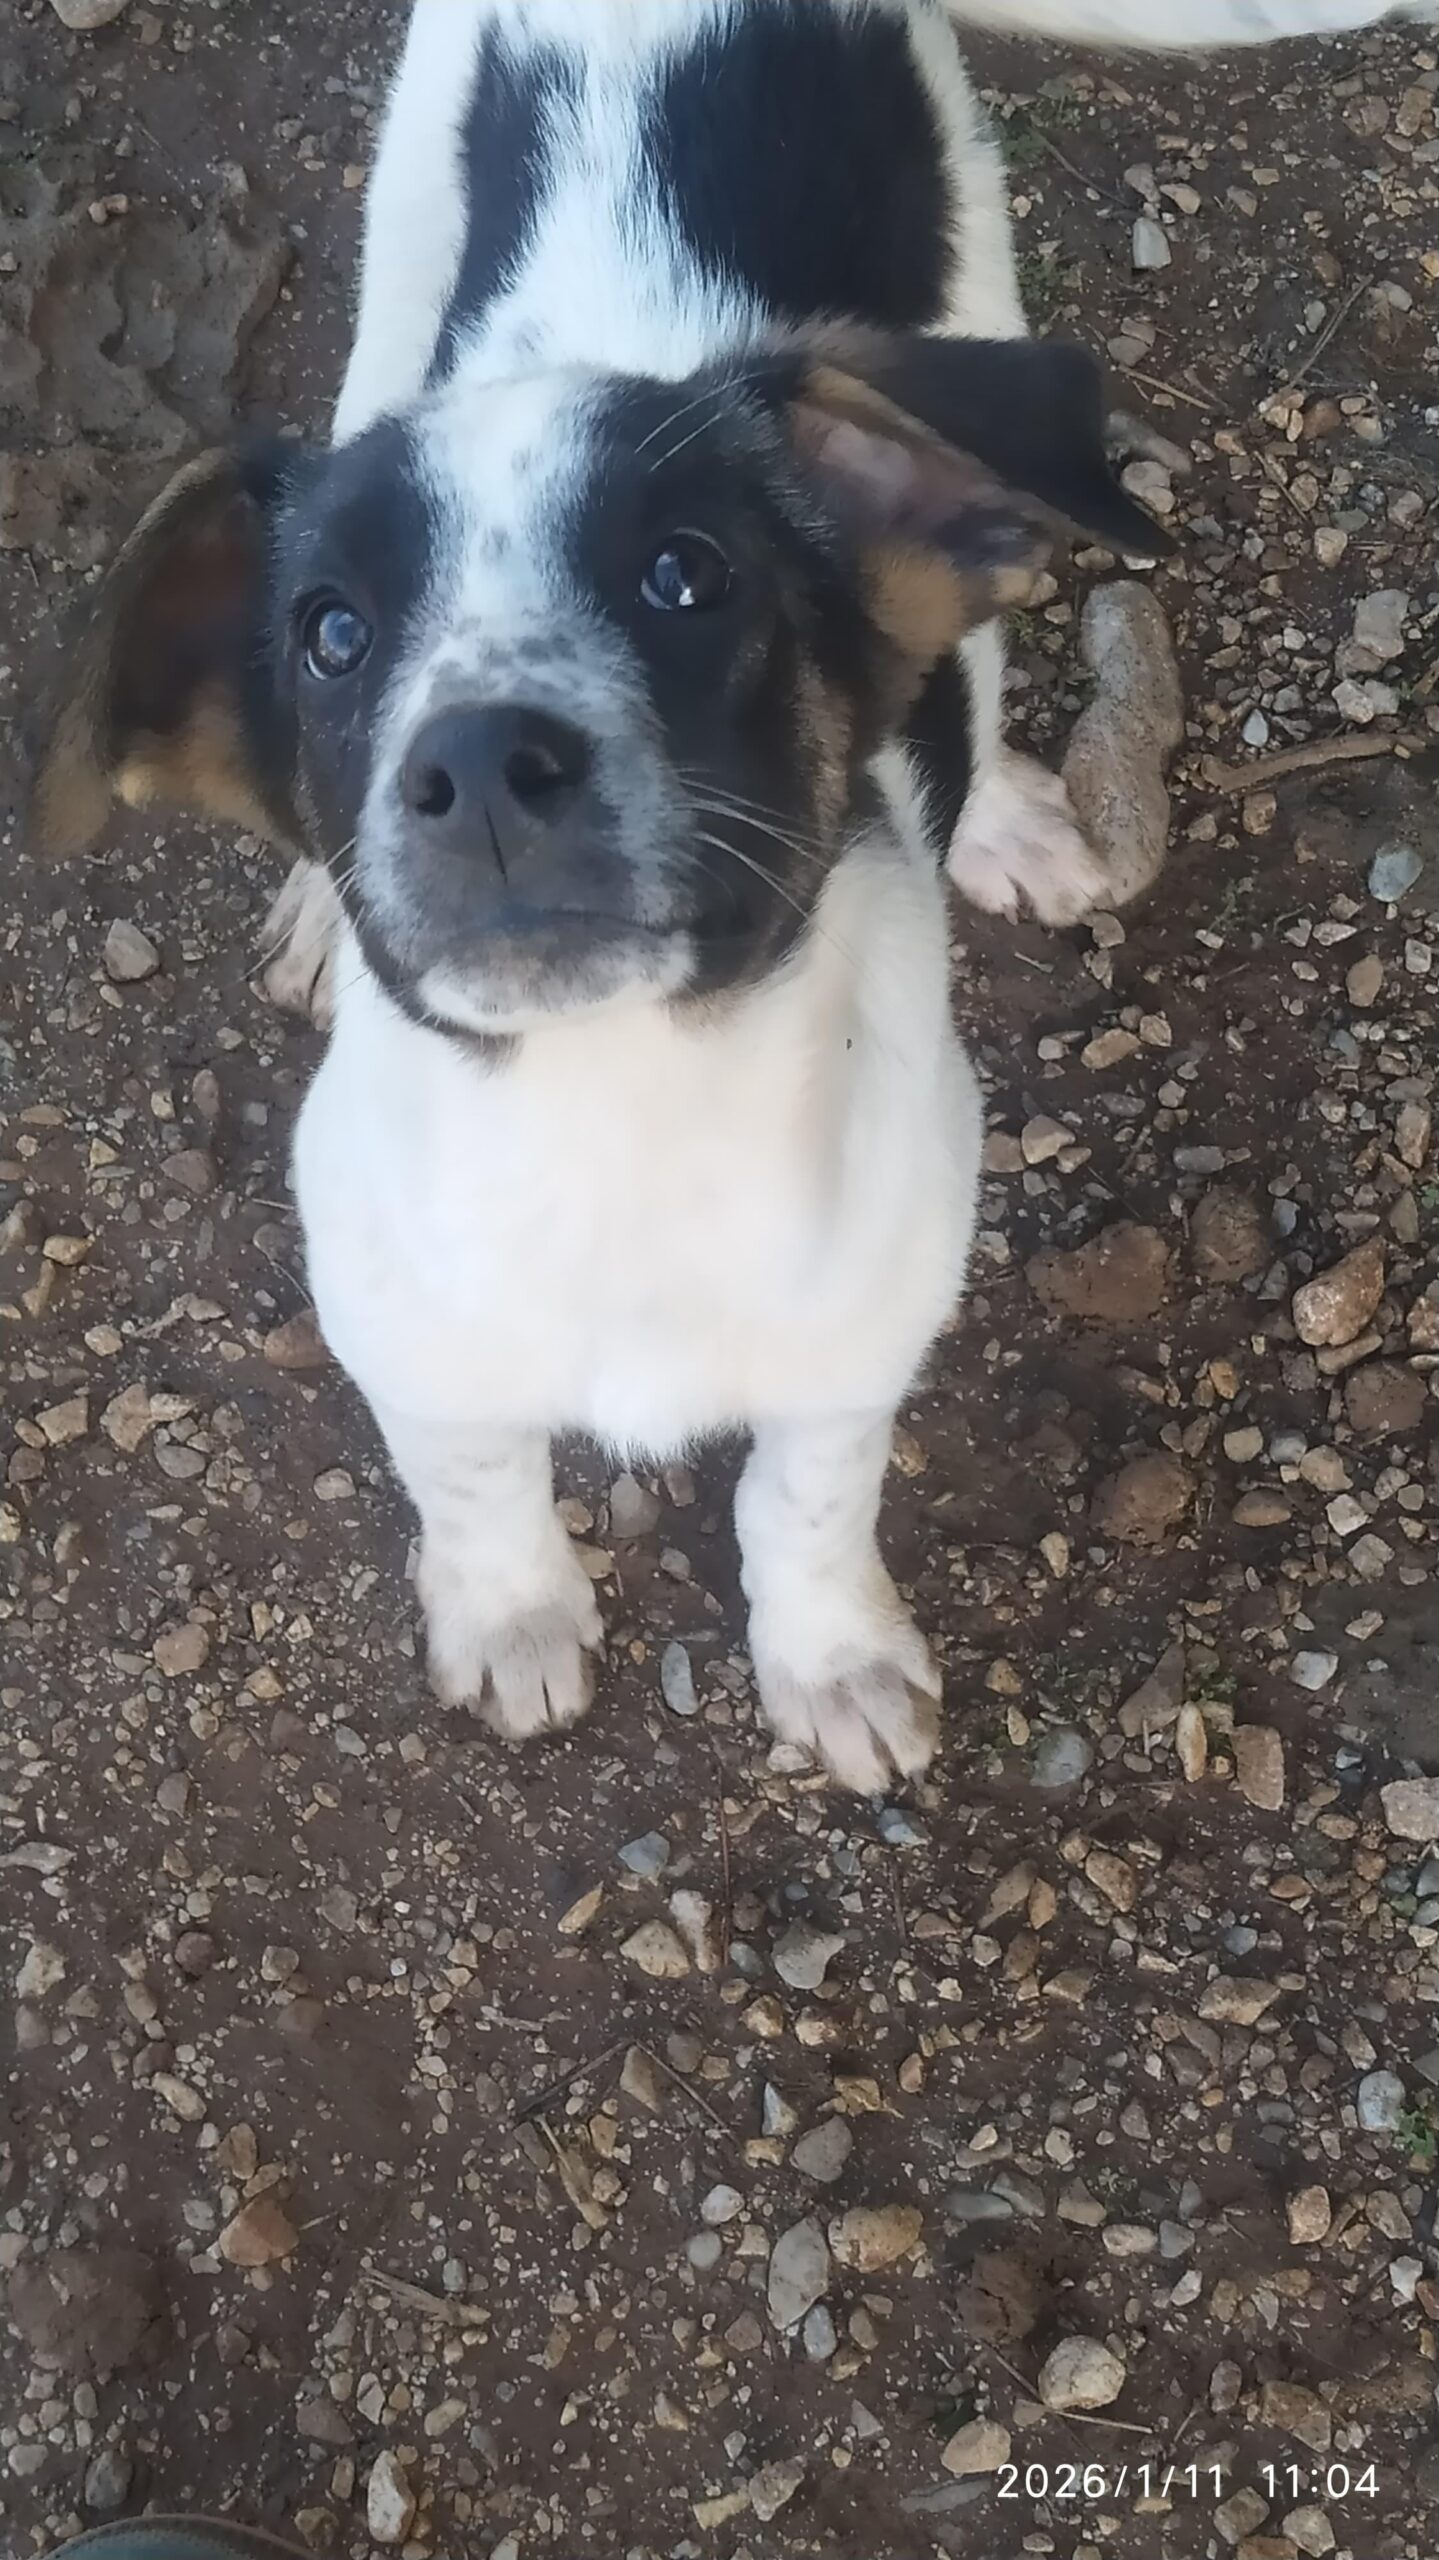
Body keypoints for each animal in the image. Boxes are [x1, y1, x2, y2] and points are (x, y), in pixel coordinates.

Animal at [31, 0, 1418, 1789]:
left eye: (681, 576)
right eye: (332, 633)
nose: (479, 765)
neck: (619, 1115)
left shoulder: (859, 1342)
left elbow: (803, 1499)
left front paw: (828, 1658)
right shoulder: (398, 1326)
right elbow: (471, 1475)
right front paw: (511, 1616)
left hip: (974, 286)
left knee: (972, 634)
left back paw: (1000, 813)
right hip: (394, 272)